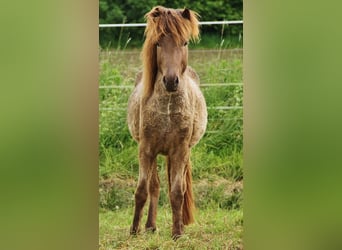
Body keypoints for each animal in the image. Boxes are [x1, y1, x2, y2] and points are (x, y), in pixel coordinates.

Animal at [127, 5, 207, 239]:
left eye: (185, 42)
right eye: (158, 43)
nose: (171, 81)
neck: (168, 110)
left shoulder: (180, 150)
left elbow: (177, 192)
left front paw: (177, 232)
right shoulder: (146, 149)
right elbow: (142, 190)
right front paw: (134, 230)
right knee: (154, 186)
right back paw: (150, 226)